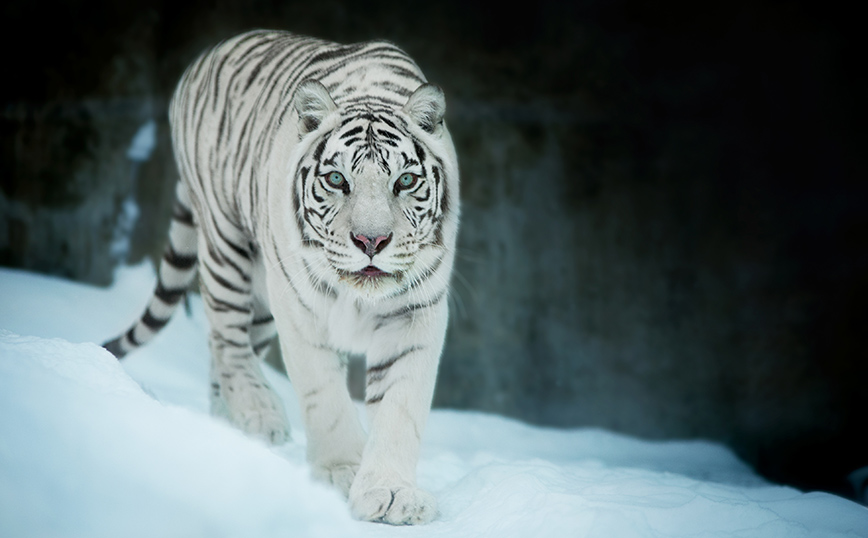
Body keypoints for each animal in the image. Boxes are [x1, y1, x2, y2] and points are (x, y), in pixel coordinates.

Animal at [103, 30, 462, 524]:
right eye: (337, 180)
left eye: (405, 182)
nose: (371, 241)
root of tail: (209, 53)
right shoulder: (298, 307)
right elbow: (324, 396)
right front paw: (340, 472)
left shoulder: (414, 312)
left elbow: (399, 407)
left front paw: (391, 493)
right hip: (227, 247)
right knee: (226, 338)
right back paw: (259, 414)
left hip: (259, 299)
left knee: (226, 349)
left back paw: (227, 424)